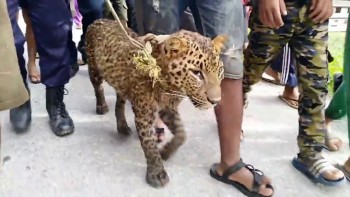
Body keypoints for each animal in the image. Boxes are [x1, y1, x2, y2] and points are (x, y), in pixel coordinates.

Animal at [85, 19, 227, 189]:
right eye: (197, 73)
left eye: (219, 70)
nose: (216, 101)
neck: (171, 85)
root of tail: (98, 20)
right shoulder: (144, 113)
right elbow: (149, 144)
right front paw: (157, 173)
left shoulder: (168, 107)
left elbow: (182, 134)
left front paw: (166, 152)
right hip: (94, 69)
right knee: (98, 88)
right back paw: (101, 107)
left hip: (122, 83)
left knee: (120, 101)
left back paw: (122, 126)